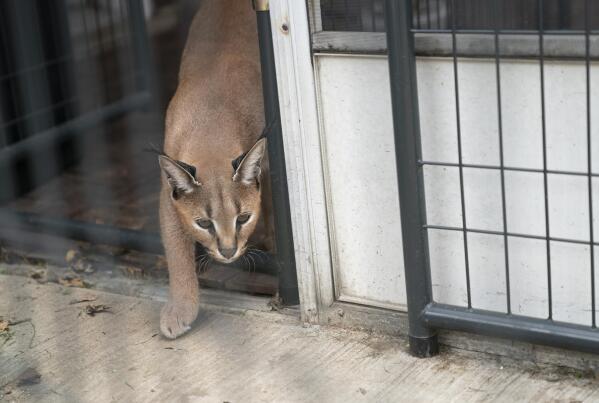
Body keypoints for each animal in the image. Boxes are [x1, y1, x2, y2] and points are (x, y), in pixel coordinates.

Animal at [159, 0, 272, 340]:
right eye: (204, 224)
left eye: (243, 218)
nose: (228, 251)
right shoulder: (168, 196)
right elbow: (176, 252)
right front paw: (181, 307)